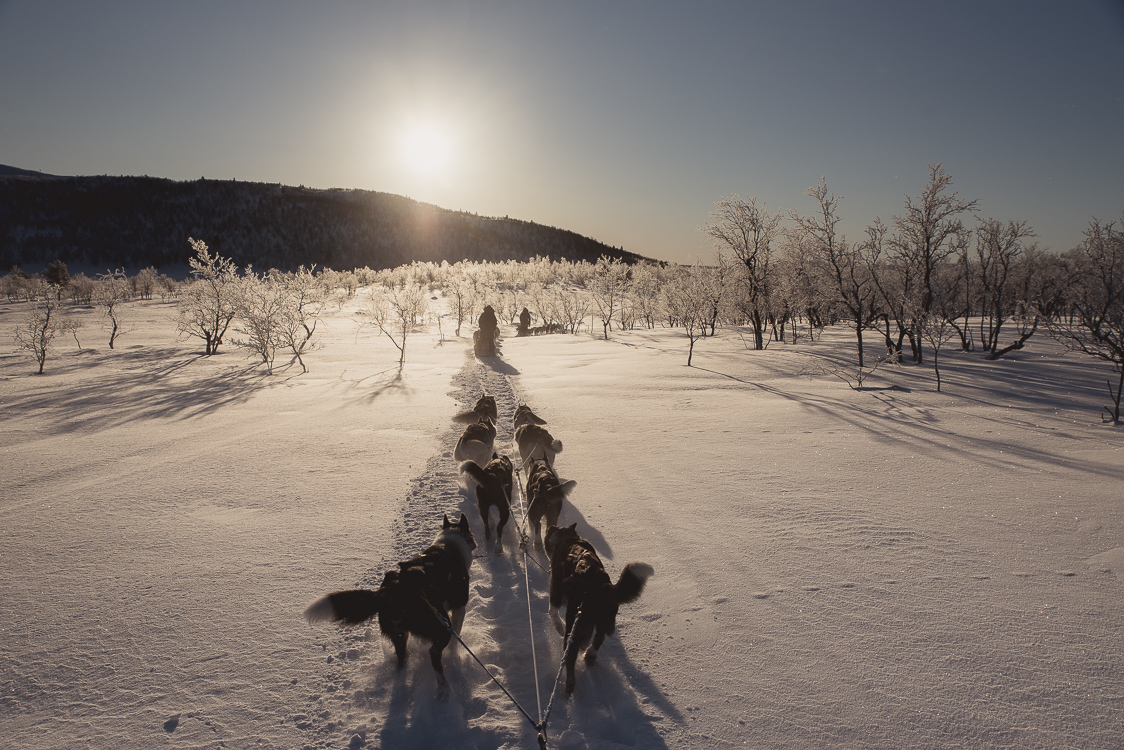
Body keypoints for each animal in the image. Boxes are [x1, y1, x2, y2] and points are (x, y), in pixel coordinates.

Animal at [303, 517, 474, 688]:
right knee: (434, 653)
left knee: (402, 661)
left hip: (399, 634)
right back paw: (444, 687)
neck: (450, 543)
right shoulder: (459, 609)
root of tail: (392, 589)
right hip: (441, 625)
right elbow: (456, 636)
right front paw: (454, 653)